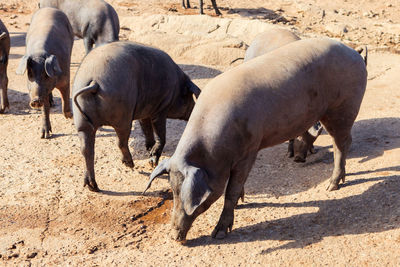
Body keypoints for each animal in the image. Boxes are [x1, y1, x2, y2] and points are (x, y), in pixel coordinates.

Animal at [15, 7, 73, 139]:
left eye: (46, 75)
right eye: (30, 75)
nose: (35, 100)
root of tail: (50, 8)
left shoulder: (65, 77)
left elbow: (66, 97)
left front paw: (70, 116)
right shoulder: (43, 91)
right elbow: (45, 110)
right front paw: (45, 136)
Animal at [72, 40, 200, 193]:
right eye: (189, 96)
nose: (193, 112)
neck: (176, 87)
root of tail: (93, 82)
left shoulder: (144, 110)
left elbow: (146, 128)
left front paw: (149, 148)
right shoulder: (161, 108)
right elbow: (160, 135)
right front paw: (152, 161)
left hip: (81, 121)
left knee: (86, 149)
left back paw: (93, 187)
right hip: (122, 115)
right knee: (120, 142)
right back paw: (130, 164)